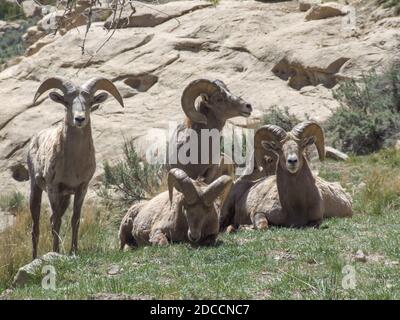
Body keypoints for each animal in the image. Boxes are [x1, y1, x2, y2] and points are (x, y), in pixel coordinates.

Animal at [27, 76, 123, 258]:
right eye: (67, 102)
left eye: (90, 102)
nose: (79, 119)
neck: (74, 165)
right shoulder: (53, 188)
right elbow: (57, 222)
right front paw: (55, 252)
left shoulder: (81, 189)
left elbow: (75, 220)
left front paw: (73, 251)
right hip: (36, 189)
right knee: (36, 227)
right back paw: (35, 258)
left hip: (65, 198)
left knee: (51, 220)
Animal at [219, 120, 354, 230]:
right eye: (278, 148)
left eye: (302, 145)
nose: (292, 161)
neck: (296, 206)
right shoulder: (258, 213)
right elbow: (263, 226)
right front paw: (246, 227)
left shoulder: (316, 220)